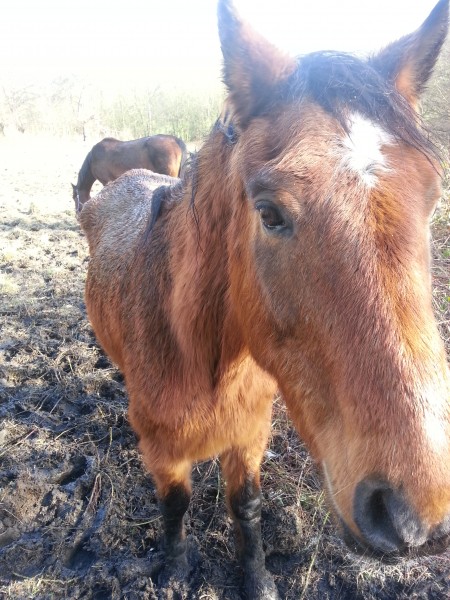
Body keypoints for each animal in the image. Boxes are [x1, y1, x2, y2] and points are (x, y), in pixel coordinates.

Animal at [78, 1, 450, 600]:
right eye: (270, 213)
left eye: (433, 199)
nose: (416, 516)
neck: (201, 352)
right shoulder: (163, 451)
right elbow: (175, 506)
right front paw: (175, 571)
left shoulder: (249, 435)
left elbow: (246, 507)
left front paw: (256, 579)